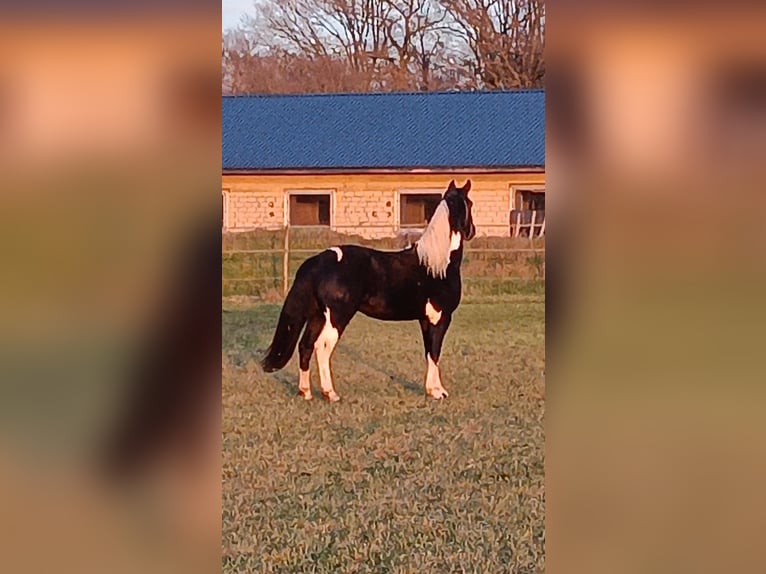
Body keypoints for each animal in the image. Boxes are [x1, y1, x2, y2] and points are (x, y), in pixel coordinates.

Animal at [266, 180, 480, 400]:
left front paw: (431, 389)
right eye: (470, 203)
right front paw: (438, 392)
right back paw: (330, 393)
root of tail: (318, 261)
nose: (472, 231)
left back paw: (306, 392)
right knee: (323, 348)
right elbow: (436, 352)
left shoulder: (426, 319)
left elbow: (429, 352)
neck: (437, 266)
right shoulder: (441, 317)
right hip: (337, 317)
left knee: (306, 346)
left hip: (317, 316)